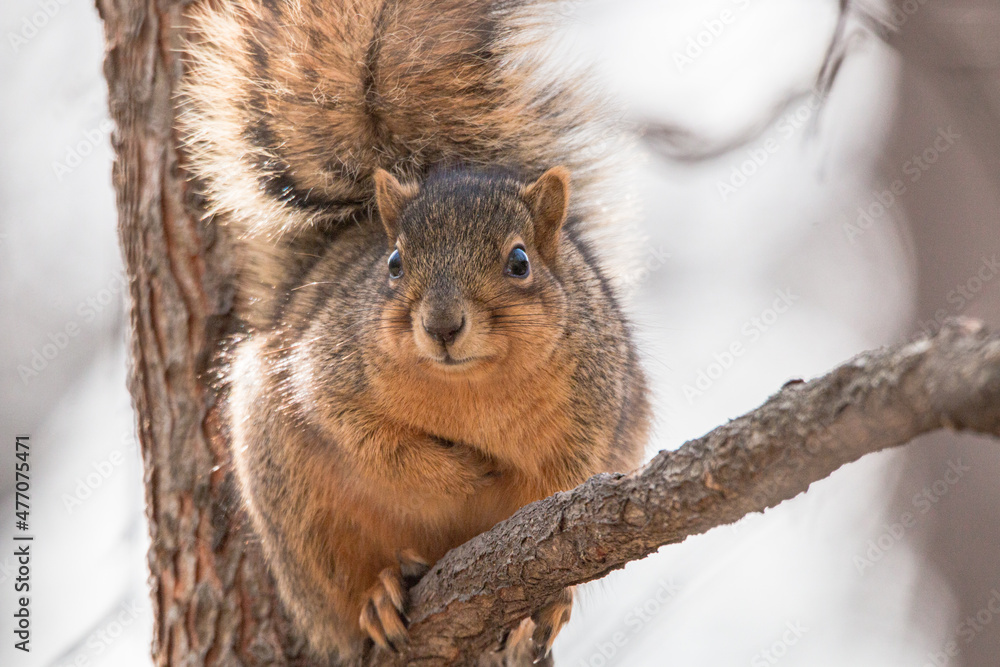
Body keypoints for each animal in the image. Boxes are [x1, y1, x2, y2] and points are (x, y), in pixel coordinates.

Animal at [180, 0, 651, 663]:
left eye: (520, 262)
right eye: (395, 263)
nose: (442, 326)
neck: (470, 390)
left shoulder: (593, 401)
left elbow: (562, 481)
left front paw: (547, 587)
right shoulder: (326, 374)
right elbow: (375, 442)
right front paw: (462, 473)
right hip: (303, 522)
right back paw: (378, 595)